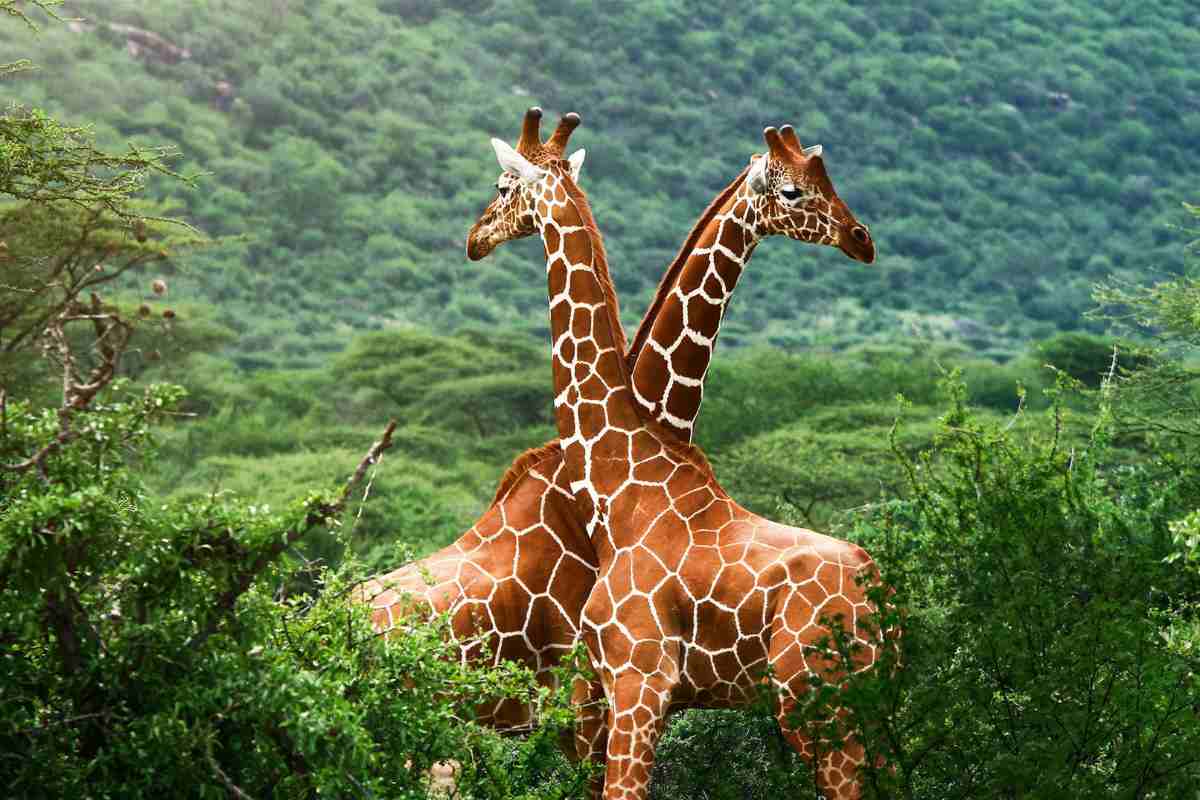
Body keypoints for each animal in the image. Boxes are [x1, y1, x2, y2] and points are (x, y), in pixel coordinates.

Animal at [464, 110, 884, 800]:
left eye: (503, 186)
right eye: (795, 190)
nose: (862, 239)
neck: (621, 477)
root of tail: (884, 597)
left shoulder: (637, 680)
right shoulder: (608, 692)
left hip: (818, 704)